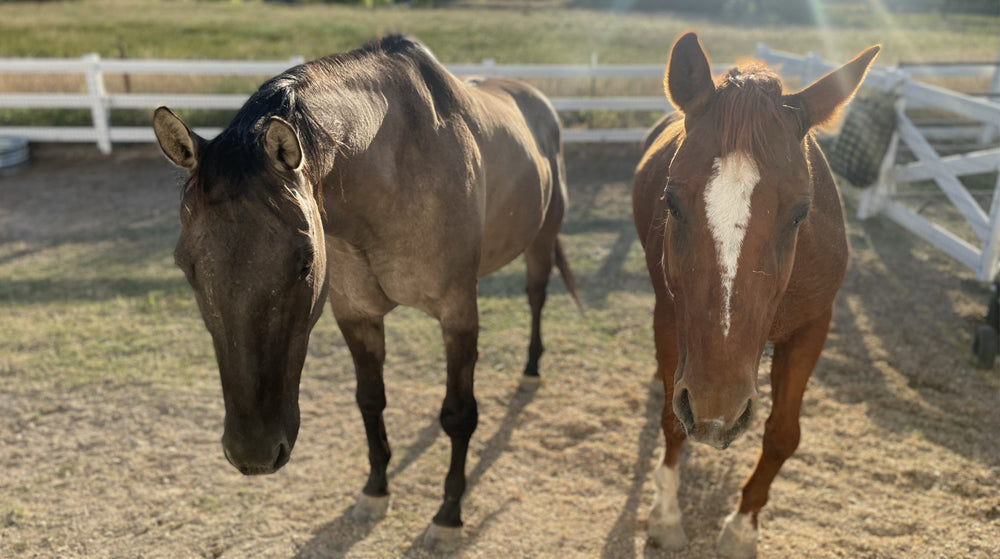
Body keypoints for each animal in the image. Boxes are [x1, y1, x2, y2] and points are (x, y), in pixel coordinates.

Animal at [154, 35, 580, 548]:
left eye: (305, 262)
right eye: (186, 267)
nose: (253, 452)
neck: (395, 171)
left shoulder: (457, 312)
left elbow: (459, 415)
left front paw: (448, 516)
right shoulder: (357, 314)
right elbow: (370, 400)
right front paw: (375, 491)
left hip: (541, 239)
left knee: (536, 297)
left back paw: (532, 369)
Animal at [632, 32, 876, 556]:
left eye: (801, 212)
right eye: (671, 201)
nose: (716, 411)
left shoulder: (812, 327)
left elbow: (783, 434)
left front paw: (743, 527)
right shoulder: (670, 318)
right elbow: (671, 418)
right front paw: (666, 515)